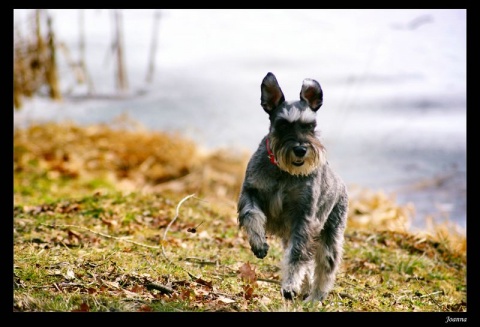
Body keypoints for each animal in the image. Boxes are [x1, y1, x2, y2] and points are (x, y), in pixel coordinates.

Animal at [237, 73, 346, 304]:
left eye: (310, 126)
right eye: (283, 125)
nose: (301, 149)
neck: (283, 172)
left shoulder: (304, 218)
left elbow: (297, 256)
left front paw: (290, 286)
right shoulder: (251, 192)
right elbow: (252, 214)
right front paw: (259, 243)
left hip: (330, 237)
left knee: (324, 267)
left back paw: (314, 298)